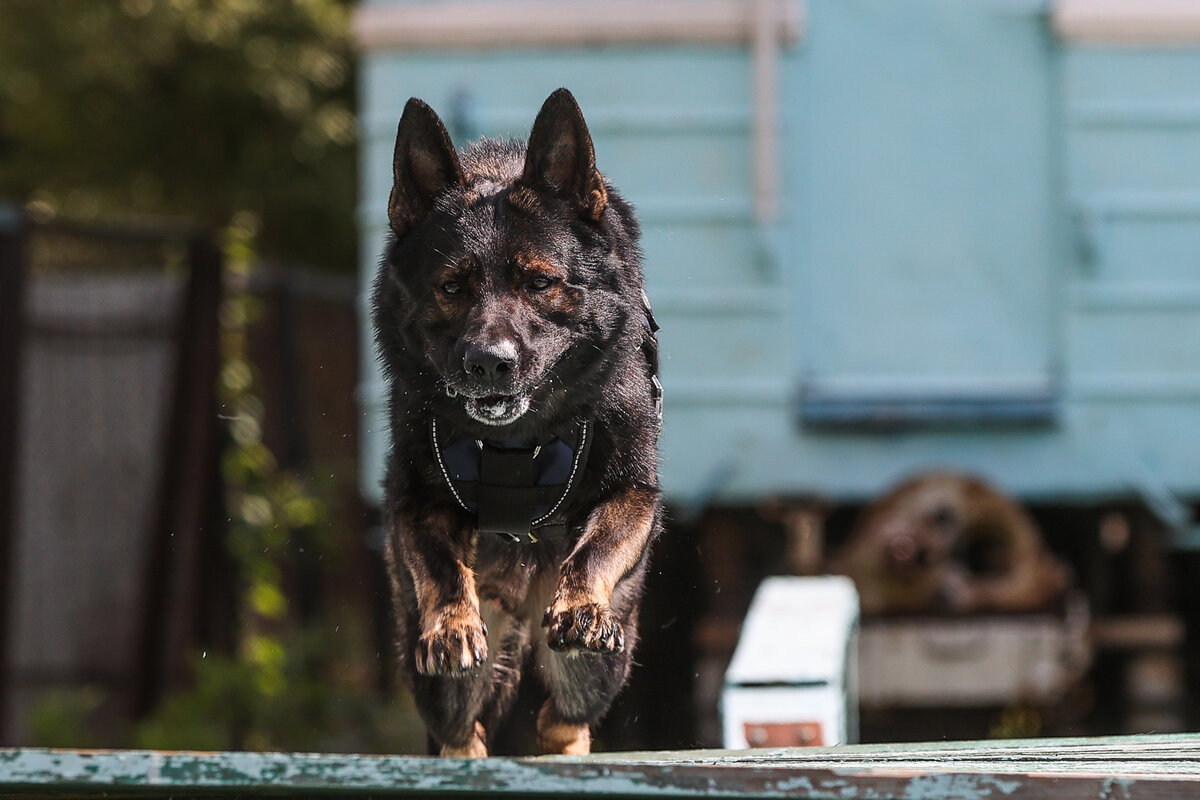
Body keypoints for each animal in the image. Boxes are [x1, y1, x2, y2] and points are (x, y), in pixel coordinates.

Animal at [369, 89, 662, 758]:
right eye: (452, 286)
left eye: (539, 282)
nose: (488, 362)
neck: (513, 445)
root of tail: (521, 607)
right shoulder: (416, 498)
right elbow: (439, 561)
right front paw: (452, 623)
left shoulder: (634, 489)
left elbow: (600, 542)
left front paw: (582, 602)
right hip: (442, 681)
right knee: (460, 728)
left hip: (595, 668)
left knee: (562, 717)